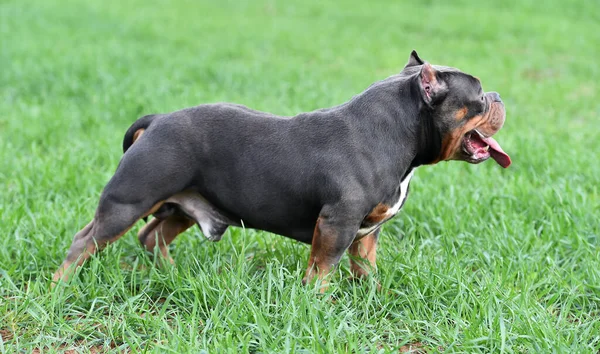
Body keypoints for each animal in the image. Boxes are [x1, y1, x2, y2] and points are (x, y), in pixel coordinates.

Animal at [52, 50, 510, 290]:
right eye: (478, 96)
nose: (499, 96)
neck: (396, 131)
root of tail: (158, 119)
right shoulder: (337, 225)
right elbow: (323, 267)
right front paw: (319, 300)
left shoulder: (367, 232)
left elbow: (365, 265)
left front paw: (371, 293)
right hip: (127, 201)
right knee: (86, 241)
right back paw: (60, 286)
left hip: (183, 206)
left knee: (154, 235)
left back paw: (171, 274)